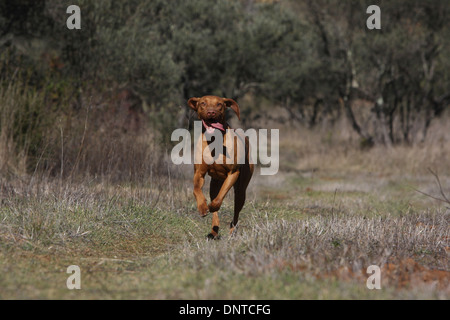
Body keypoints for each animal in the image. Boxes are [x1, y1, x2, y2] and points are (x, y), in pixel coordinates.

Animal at [188, 95, 255, 238]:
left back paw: (232, 231)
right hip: (214, 184)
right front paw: (203, 207)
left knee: (236, 212)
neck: (214, 140)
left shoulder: (233, 173)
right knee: (215, 208)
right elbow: (196, 190)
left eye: (219, 104)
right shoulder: (199, 173)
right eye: (203, 103)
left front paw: (212, 206)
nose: (211, 112)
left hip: (241, 190)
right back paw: (214, 230)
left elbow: (219, 199)